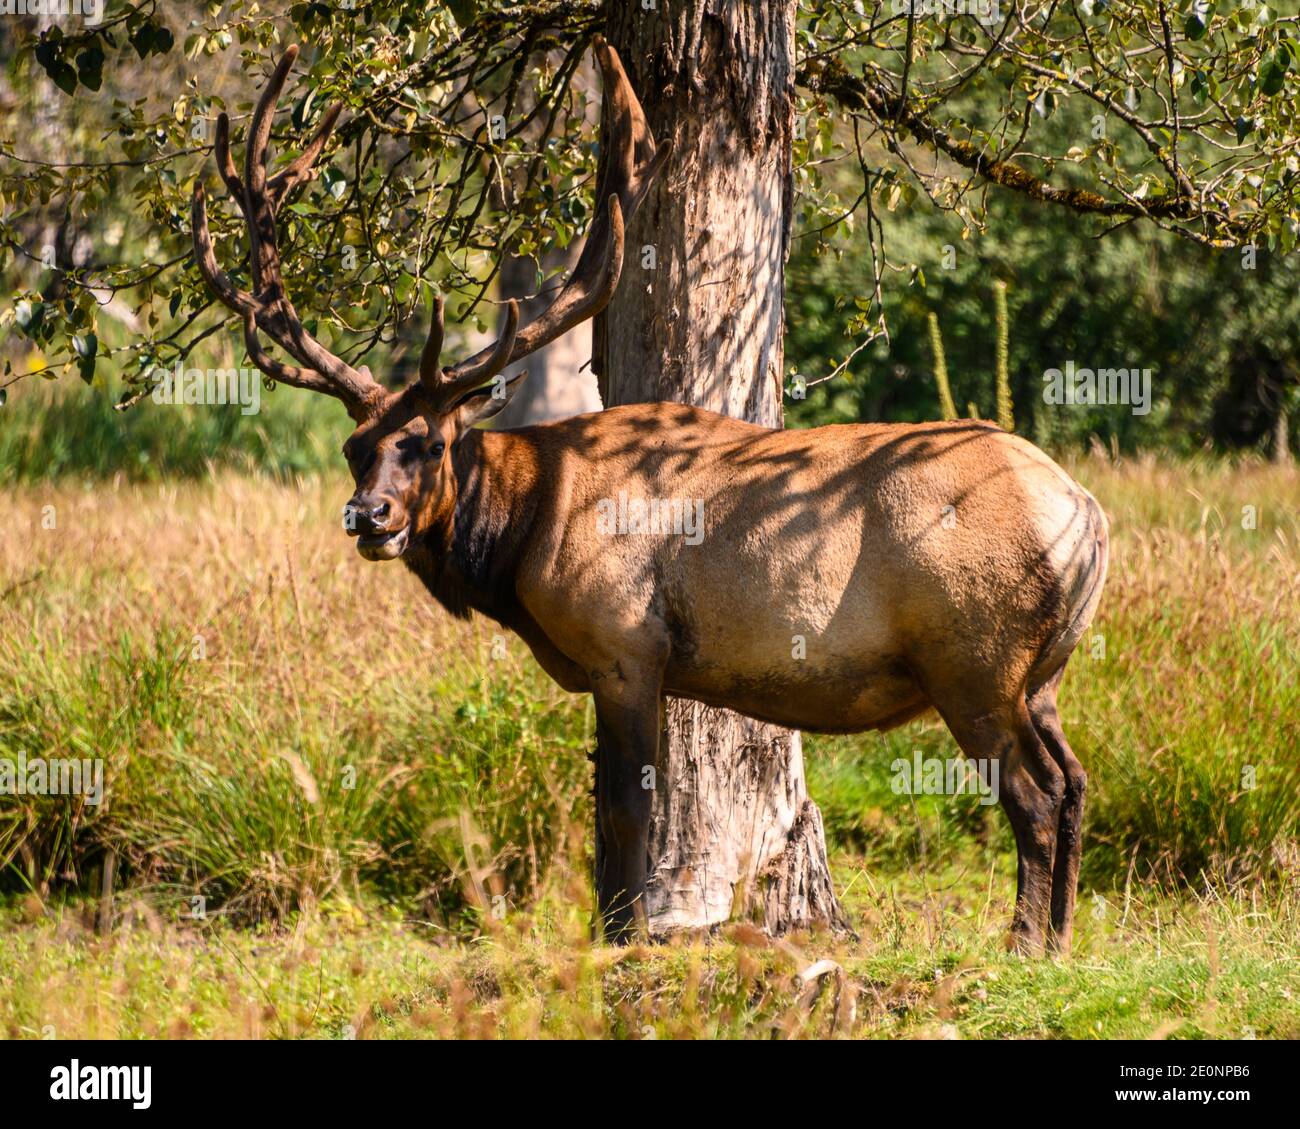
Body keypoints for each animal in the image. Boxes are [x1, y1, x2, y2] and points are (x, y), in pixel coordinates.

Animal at [191, 40, 1108, 955]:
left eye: (431, 442)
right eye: (357, 447)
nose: (369, 516)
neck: (526, 532)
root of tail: (1090, 519)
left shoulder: (626, 642)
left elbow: (627, 807)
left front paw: (623, 931)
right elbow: (613, 803)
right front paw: (617, 922)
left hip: (973, 656)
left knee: (1033, 792)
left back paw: (1024, 942)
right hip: (1041, 671)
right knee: (1074, 778)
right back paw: (1063, 937)